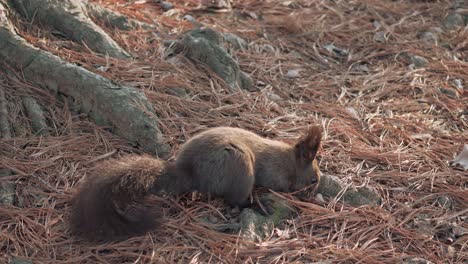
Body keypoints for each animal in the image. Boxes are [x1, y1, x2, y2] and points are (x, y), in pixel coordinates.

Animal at [69, 126, 324, 241]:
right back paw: (255, 204)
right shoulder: (274, 173)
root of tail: (188, 172)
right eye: (313, 180)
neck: (287, 160)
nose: (314, 196)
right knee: (235, 199)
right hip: (239, 165)